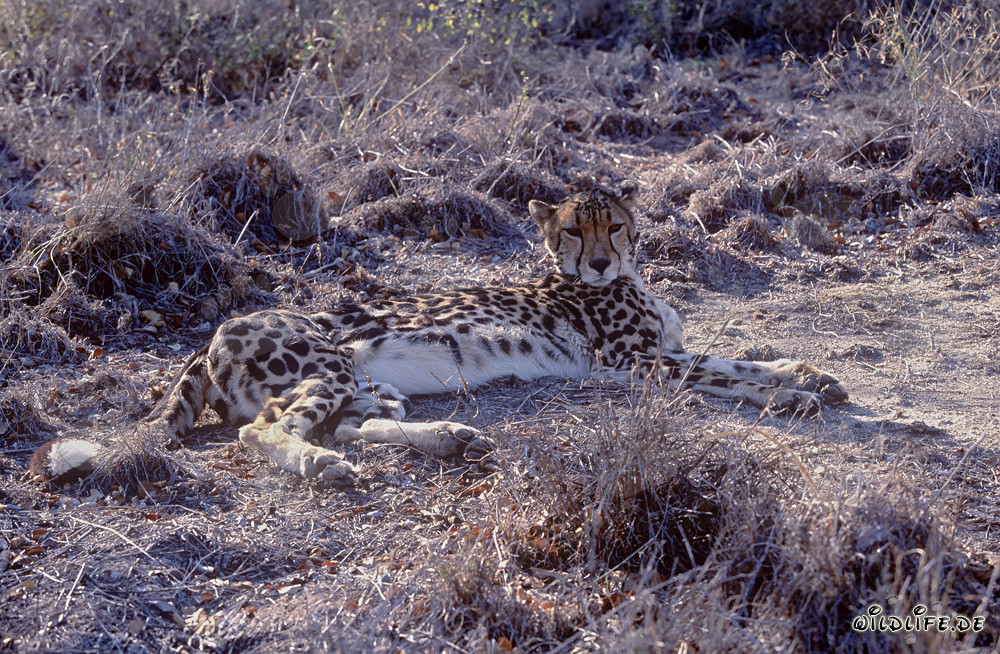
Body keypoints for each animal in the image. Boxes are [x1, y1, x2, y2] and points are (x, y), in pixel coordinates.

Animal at [31, 181, 847, 488]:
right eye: (573, 230)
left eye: (612, 225)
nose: (599, 259)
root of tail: (211, 337)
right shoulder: (635, 362)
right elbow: (726, 370)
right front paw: (795, 392)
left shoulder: (660, 351)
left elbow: (741, 357)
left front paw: (809, 374)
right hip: (323, 367)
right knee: (267, 431)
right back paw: (318, 466)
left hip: (368, 383)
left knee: (351, 426)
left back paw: (449, 438)